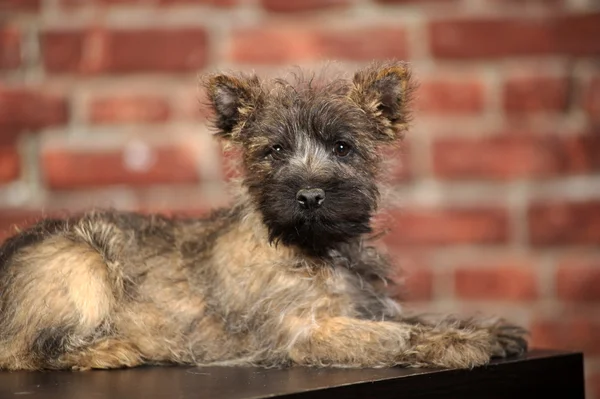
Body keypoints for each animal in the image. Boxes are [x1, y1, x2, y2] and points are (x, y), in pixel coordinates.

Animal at [0, 60, 524, 372]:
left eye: (343, 147)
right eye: (273, 151)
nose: (309, 196)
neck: (314, 250)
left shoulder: (360, 307)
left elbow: (409, 317)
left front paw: (482, 328)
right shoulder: (304, 332)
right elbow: (391, 335)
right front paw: (459, 343)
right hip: (81, 259)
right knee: (24, 350)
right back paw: (116, 349)